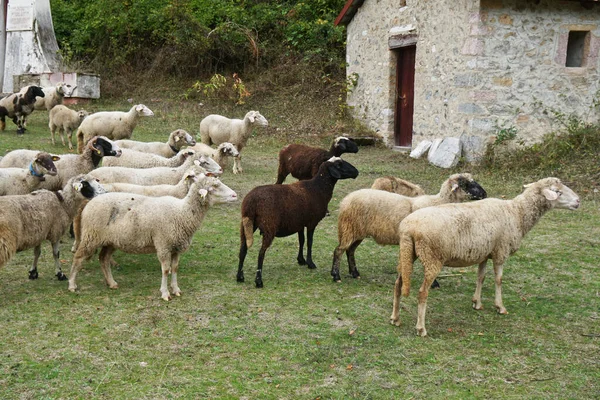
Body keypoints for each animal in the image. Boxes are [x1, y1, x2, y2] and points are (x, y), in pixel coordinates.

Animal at [69, 174, 238, 300]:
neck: (182, 212)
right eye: (214, 187)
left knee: (103, 259)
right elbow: (165, 270)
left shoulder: (176, 247)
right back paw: (72, 284)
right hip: (91, 235)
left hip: (111, 240)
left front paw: (176, 289)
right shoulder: (163, 244)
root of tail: (89, 202)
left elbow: (175, 268)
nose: (235, 195)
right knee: (78, 257)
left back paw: (111, 283)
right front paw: (165, 293)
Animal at [234, 156, 356, 288]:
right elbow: (309, 242)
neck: (318, 188)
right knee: (261, 253)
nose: (356, 172)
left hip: (247, 224)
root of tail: (251, 202)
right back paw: (258, 281)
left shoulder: (299, 223)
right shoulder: (311, 222)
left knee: (243, 249)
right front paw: (310, 263)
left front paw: (301, 260)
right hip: (269, 226)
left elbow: (301, 240)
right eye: (339, 165)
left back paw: (240, 277)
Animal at [330, 172, 486, 282]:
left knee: (350, 251)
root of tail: (345, 201)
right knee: (339, 250)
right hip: (349, 228)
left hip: (357, 231)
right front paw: (434, 283)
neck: (437, 202)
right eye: (467, 184)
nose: (484, 193)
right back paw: (336, 276)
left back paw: (355, 273)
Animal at [390, 177, 580, 336]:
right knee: (422, 292)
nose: (578, 201)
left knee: (398, 284)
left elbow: (480, 277)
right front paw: (500, 306)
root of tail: (409, 228)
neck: (517, 212)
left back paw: (395, 318)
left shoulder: (484, 253)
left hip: (406, 254)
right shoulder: (500, 251)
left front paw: (477, 303)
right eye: (558, 191)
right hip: (432, 258)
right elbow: (498, 279)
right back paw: (421, 328)